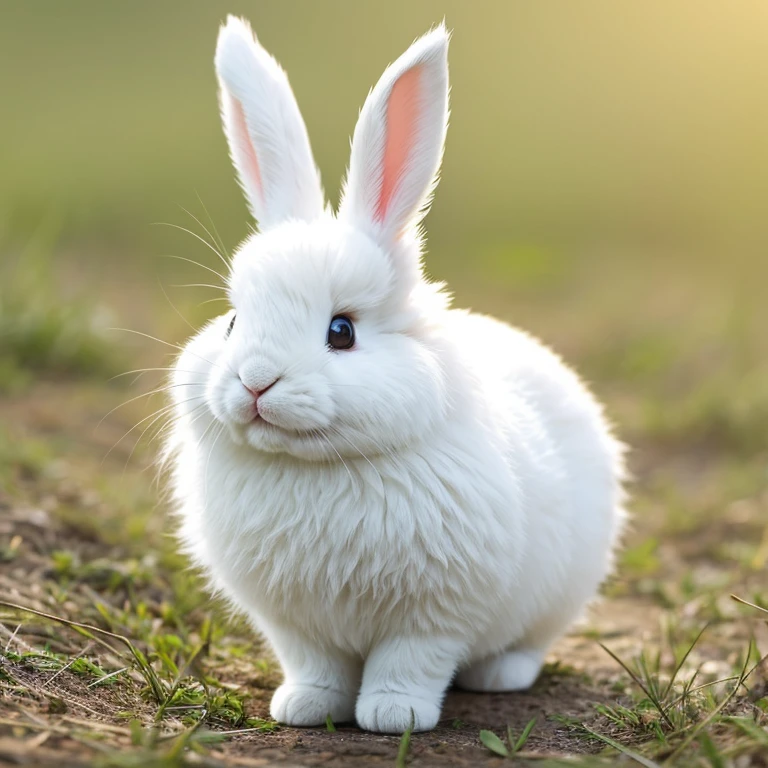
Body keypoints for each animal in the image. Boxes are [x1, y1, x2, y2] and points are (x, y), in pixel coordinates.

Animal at [166, 16, 624, 732]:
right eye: (234, 321)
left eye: (341, 330)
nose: (256, 382)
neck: (317, 466)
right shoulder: (296, 624)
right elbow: (317, 665)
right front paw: (304, 707)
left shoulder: (434, 613)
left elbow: (409, 663)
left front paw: (392, 716)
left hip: (558, 593)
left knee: (525, 644)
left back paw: (500, 676)